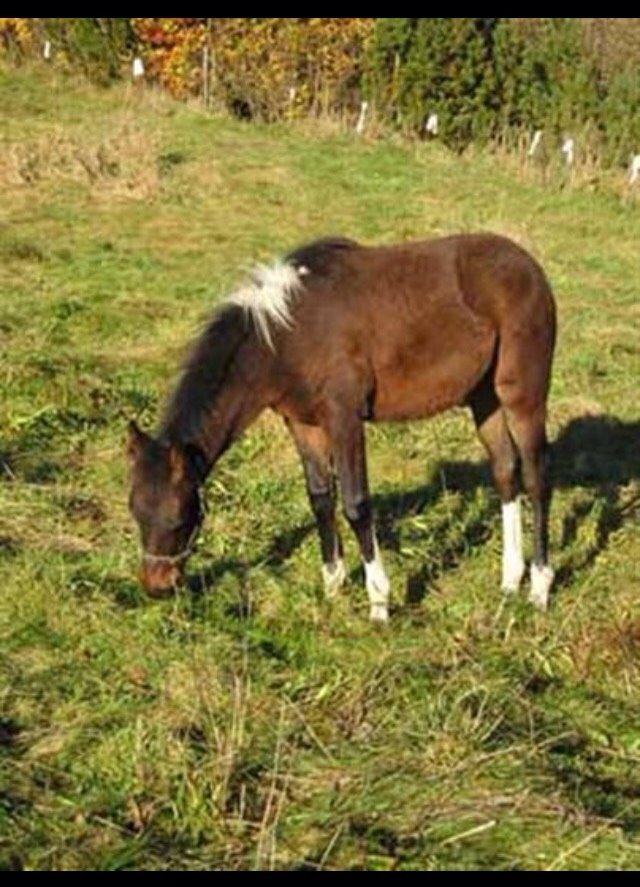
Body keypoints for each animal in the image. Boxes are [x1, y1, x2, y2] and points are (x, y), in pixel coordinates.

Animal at [125, 236, 556, 624]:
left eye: (180, 517)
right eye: (136, 512)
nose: (156, 585)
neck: (285, 336)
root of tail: (529, 265)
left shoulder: (344, 418)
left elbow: (355, 503)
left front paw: (379, 602)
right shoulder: (303, 424)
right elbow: (320, 498)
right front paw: (332, 588)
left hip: (522, 396)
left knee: (536, 478)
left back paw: (539, 588)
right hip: (484, 398)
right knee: (505, 471)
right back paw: (509, 581)